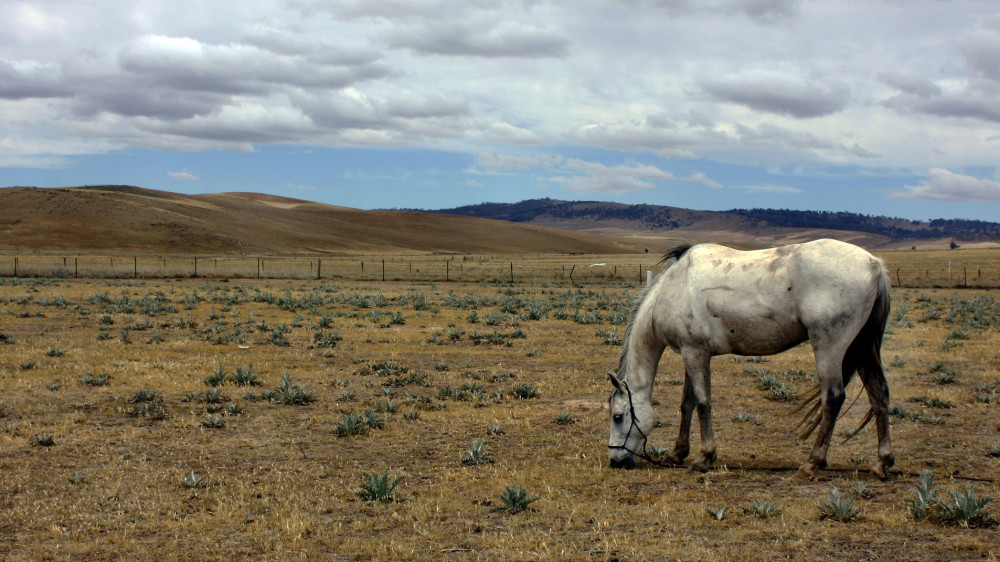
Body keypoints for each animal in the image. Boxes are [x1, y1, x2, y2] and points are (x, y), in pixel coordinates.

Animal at [604, 238, 896, 480]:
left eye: (618, 416)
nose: (615, 461)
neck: (672, 288)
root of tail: (873, 264)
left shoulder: (695, 353)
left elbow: (702, 403)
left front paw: (703, 458)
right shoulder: (692, 354)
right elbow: (687, 404)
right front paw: (677, 454)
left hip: (830, 347)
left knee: (833, 397)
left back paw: (813, 463)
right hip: (861, 348)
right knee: (879, 393)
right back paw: (882, 463)